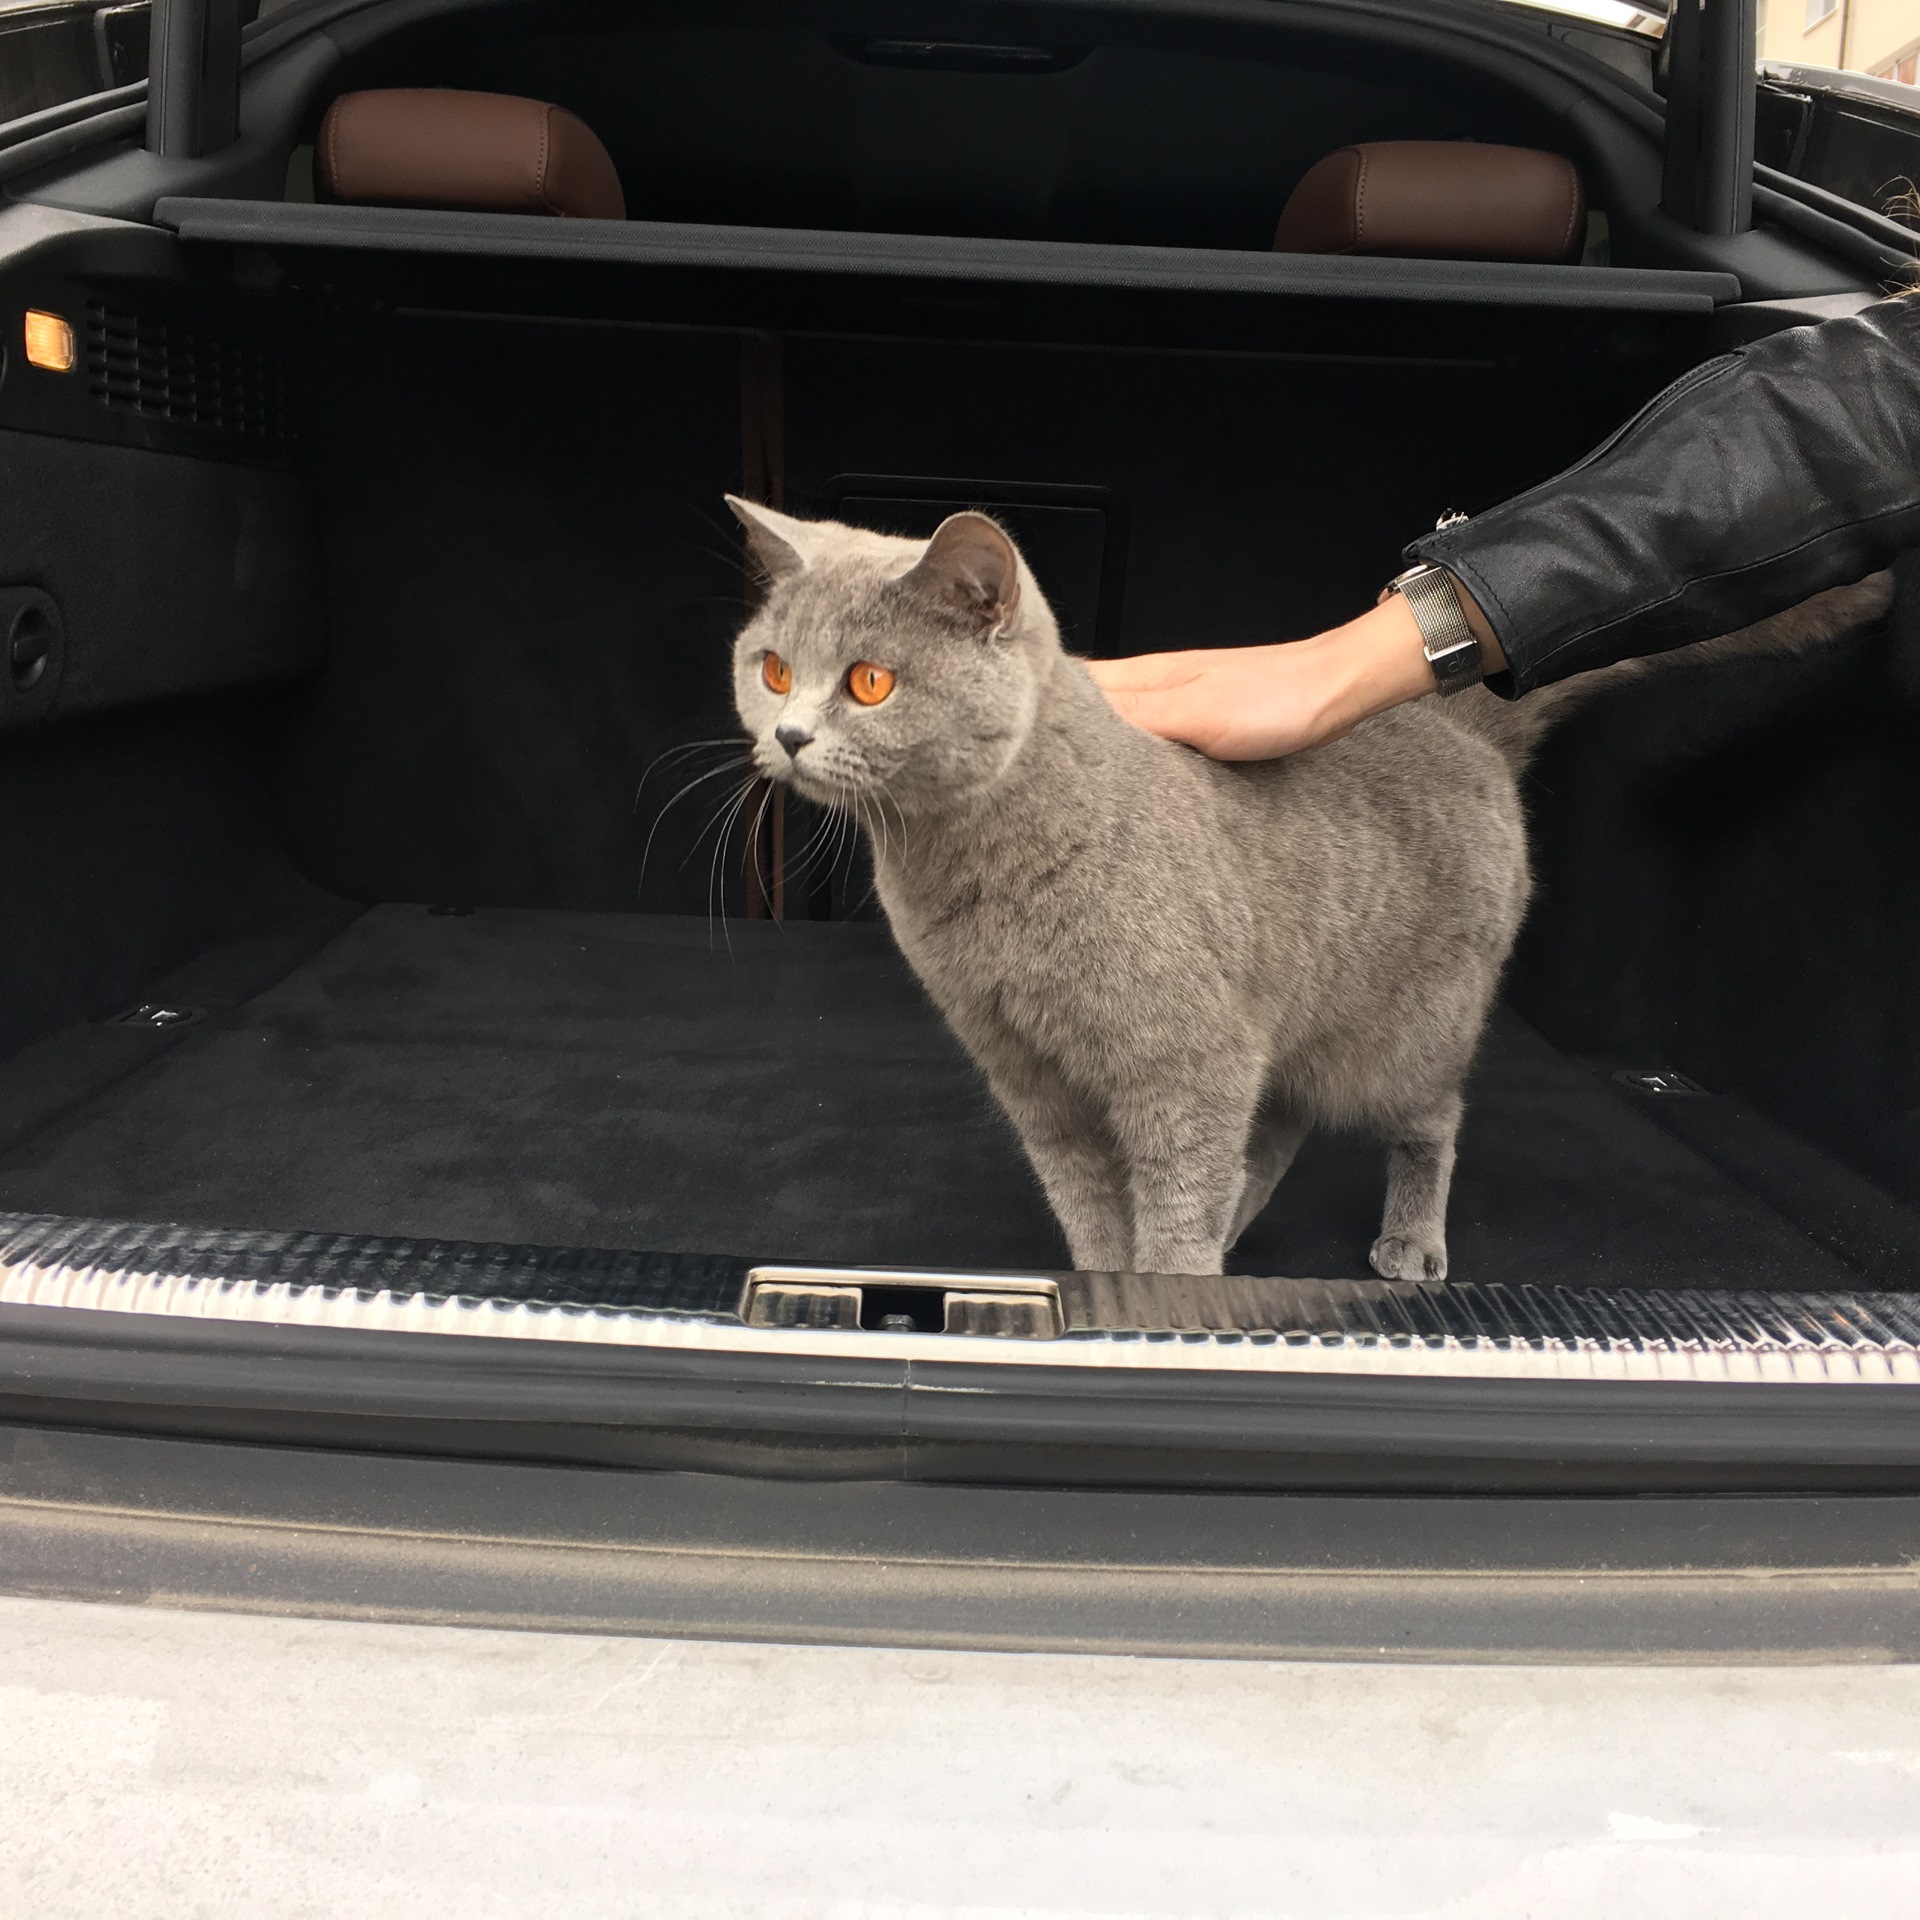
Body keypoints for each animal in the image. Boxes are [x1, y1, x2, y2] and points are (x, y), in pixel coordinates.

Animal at [727, 495, 1889, 1280]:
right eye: (774, 669)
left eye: (871, 683)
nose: (788, 736)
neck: (973, 883)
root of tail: (1454, 724)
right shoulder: (1032, 1078)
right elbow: (1091, 1203)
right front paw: (1110, 1279)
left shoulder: (1186, 1063)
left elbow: (1177, 1188)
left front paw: (1166, 1292)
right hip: (1288, 1013)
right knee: (1280, 1128)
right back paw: (1240, 1229)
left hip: (1410, 1029)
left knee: (1429, 1121)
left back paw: (1407, 1243)